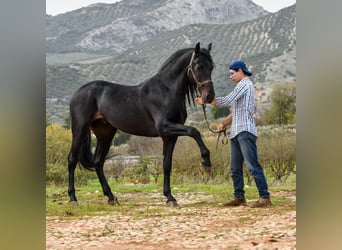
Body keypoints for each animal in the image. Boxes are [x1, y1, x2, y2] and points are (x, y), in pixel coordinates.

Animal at [68, 43, 215, 206]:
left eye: (211, 67)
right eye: (198, 66)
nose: (209, 96)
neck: (166, 91)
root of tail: (78, 92)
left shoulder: (170, 136)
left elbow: (167, 164)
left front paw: (170, 197)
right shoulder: (165, 127)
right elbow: (194, 131)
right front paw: (205, 163)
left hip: (105, 134)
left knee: (98, 162)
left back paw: (111, 197)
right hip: (79, 130)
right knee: (72, 160)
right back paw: (73, 198)